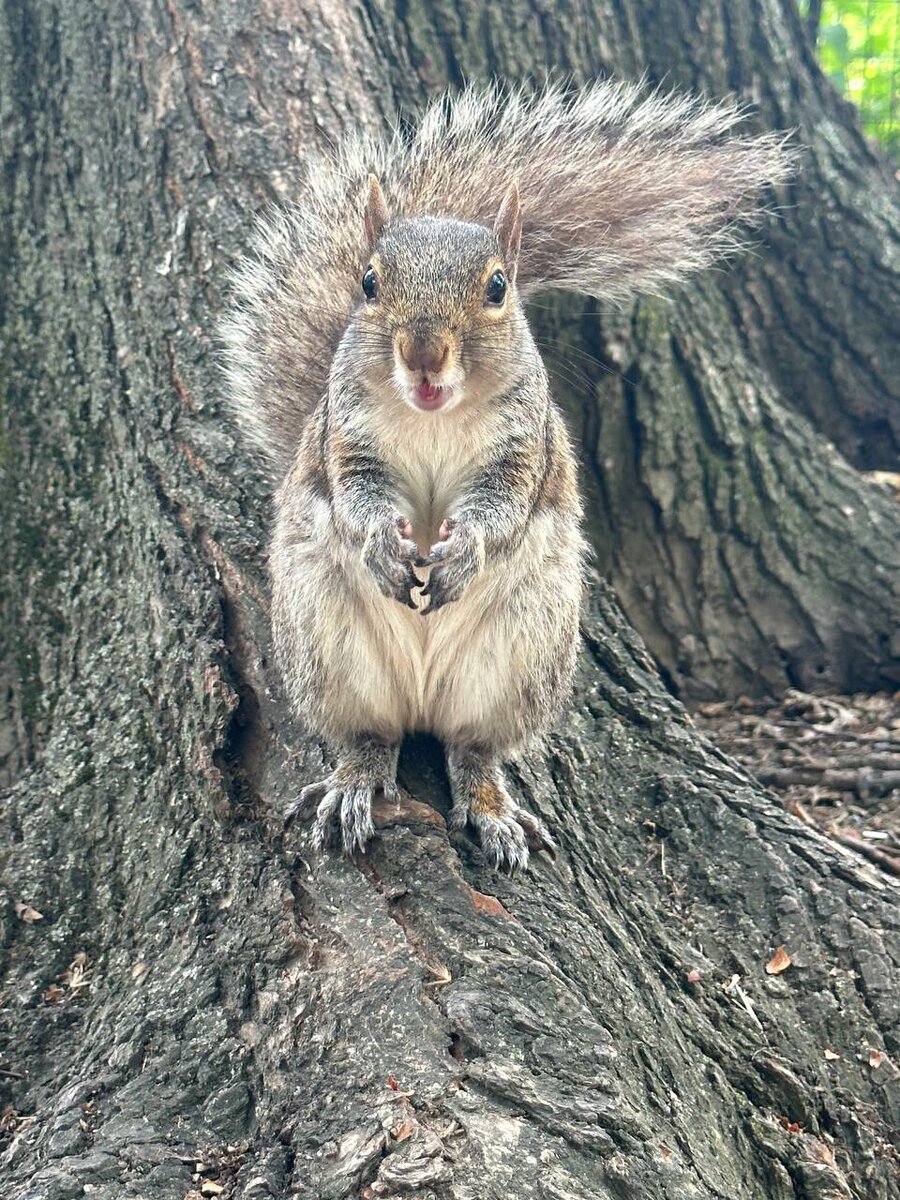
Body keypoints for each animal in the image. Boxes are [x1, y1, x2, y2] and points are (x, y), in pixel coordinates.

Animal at [222, 84, 792, 873]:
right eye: (368, 283)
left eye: (498, 287)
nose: (424, 353)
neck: (433, 416)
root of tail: (423, 696)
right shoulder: (345, 438)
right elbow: (357, 495)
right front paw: (382, 543)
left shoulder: (527, 449)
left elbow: (503, 507)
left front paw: (465, 551)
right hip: (327, 648)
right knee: (370, 737)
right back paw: (355, 783)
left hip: (519, 659)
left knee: (473, 749)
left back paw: (492, 806)